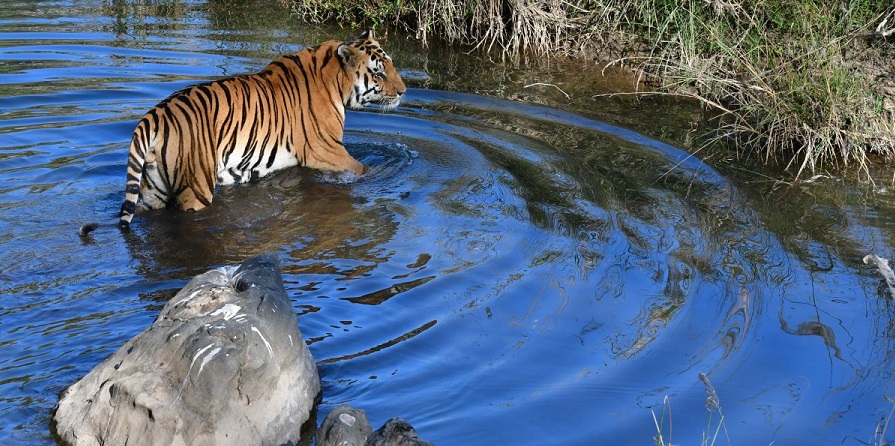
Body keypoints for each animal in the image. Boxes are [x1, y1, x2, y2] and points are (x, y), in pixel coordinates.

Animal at [100, 30, 402, 233]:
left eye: (391, 65)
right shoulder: (327, 150)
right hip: (194, 187)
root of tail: (155, 114)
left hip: (154, 189)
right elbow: (364, 169)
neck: (336, 81)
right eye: (378, 73)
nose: (403, 91)